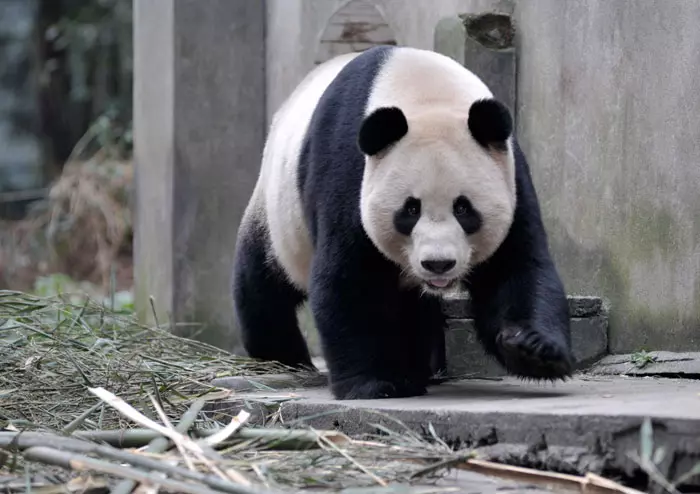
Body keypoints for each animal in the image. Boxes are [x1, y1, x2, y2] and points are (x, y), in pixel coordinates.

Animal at [232, 45, 572, 402]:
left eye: (464, 209)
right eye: (410, 209)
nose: (438, 264)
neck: (426, 93)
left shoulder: (510, 174)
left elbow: (516, 266)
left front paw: (534, 349)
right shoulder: (349, 171)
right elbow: (349, 276)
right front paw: (376, 383)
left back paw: (423, 365)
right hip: (277, 215)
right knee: (262, 284)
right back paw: (283, 358)